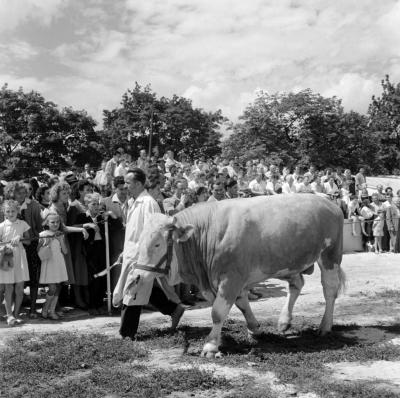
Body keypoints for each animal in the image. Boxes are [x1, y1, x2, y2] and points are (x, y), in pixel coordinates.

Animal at [124, 194, 344, 360]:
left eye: (157, 244)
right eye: (140, 240)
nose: (136, 276)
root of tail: (329, 201)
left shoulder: (231, 278)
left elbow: (218, 312)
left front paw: (211, 346)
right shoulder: (226, 281)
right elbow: (242, 303)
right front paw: (254, 328)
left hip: (330, 255)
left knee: (330, 290)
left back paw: (325, 326)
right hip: (287, 263)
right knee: (297, 284)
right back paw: (284, 321)